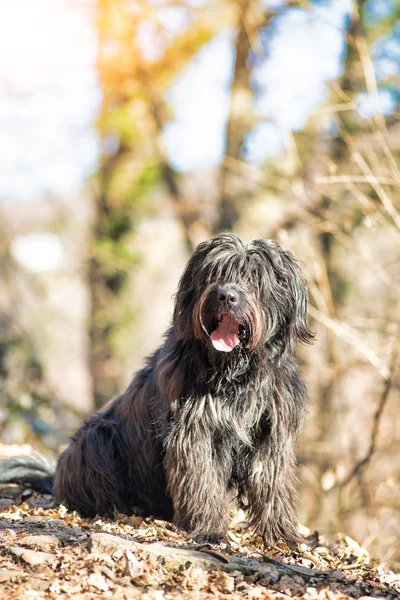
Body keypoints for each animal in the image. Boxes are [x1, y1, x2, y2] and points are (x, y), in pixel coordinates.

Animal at [0, 233, 312, 544]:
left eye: (254, 276)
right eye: (214, 272)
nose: (225, 295)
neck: (235, 372)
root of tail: (54, 479)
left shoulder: (272, 432)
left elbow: (271, 481)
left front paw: (282, 534)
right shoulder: (195, 430)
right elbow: (202, 477)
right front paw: (208, 529)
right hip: (96, 438)